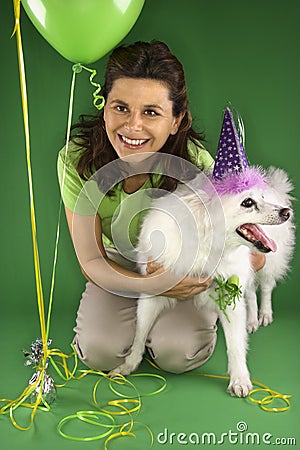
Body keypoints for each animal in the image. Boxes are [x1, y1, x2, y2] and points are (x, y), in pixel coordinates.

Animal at [111, 168, 294, 398]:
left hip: (269, 264)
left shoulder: (230, 297)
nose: (287, 212)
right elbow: (139, 334)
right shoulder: (152, 294)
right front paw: (128, 365)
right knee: (252, 292)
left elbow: (235, 345)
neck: (207, 246)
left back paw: (264, 315)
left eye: (259, 198)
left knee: (267, 287)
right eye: (248, 202)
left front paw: (240, 379)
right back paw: (252, 320)